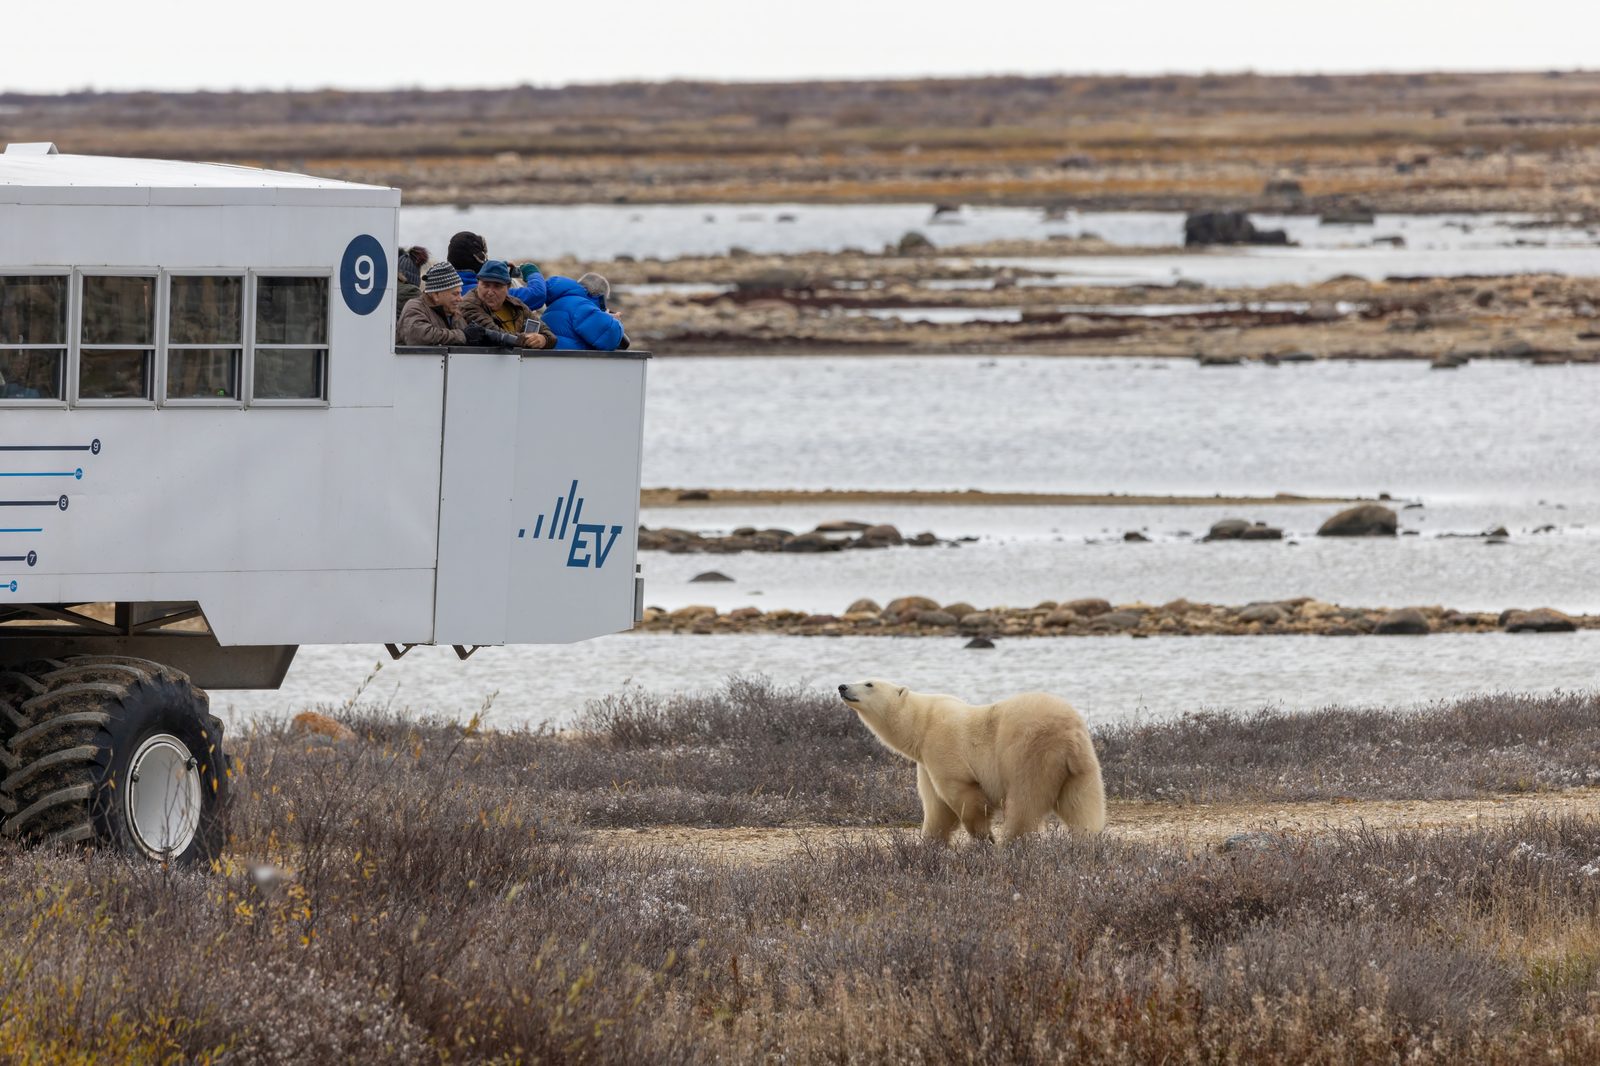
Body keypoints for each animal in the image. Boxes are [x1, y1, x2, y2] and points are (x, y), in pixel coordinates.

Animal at [837, 680, 1105, 844]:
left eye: (869, 683)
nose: (842, 686)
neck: (921, 723)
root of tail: (1069, 735)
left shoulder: (941, 744)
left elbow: (963, 794)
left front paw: (985, 838)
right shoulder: (925, 763)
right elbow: (937, 807)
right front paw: (928, 843)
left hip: (1029, 752)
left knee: (1024, 802)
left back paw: (1009, 845)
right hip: (1082, 765)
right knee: (1082, 805)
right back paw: (1087, 842)